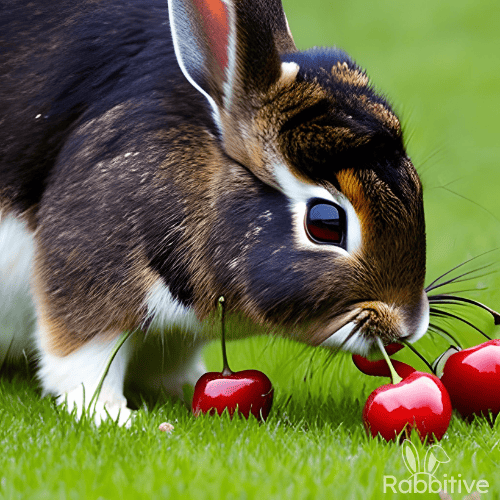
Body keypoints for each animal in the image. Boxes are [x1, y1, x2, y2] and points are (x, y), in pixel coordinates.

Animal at [0, 0, 430, 426]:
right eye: (326, 224)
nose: (407, 325)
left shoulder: (178, 337)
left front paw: (184, 387)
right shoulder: (90, 280)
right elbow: (83, 360)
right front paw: (112, 413)